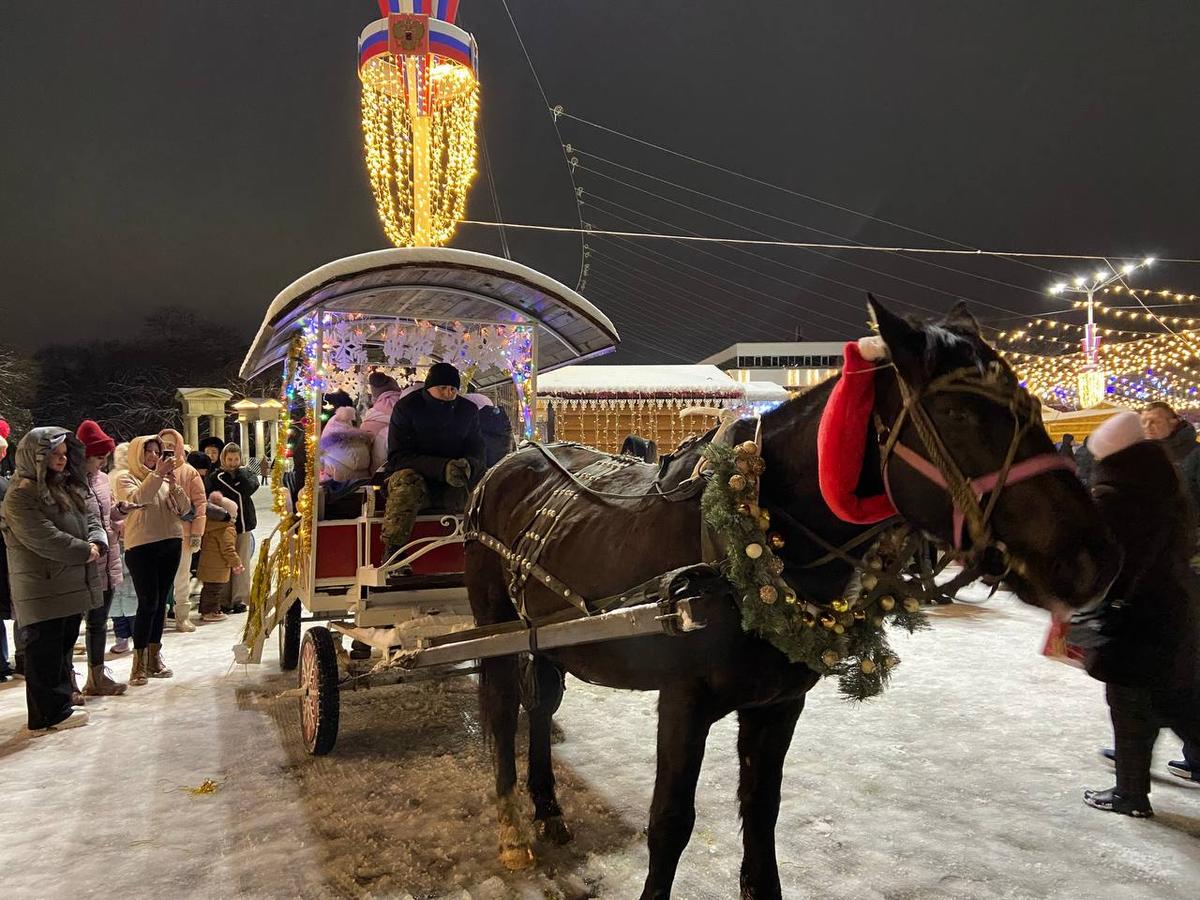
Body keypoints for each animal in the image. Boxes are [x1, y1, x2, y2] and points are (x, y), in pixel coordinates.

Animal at [463, 300, 1118, 897]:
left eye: (1031, 408)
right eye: (958, 412)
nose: (1094, 559)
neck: (752, 536)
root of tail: (510, 461)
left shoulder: (779, 703)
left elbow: (762, 810)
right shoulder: (683, 700)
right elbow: (670, 823)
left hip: (546, 635)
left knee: (540, 705)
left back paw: (548, 807)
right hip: (495, 622)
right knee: (502, 705)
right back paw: (513, 831)